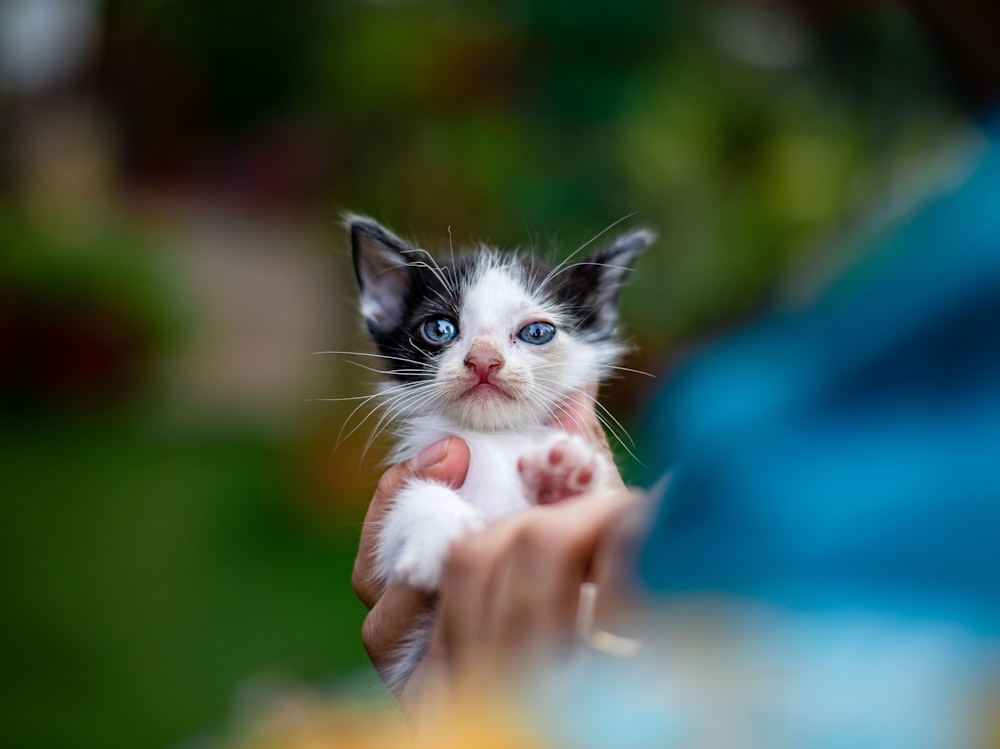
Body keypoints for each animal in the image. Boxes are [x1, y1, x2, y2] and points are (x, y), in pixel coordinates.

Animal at [348, 215, 652, 688]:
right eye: (439, 328)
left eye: (537, 332)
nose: (484, 360)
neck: (495, 438)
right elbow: (406, 507)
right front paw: (438, 532)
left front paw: (562, 480)